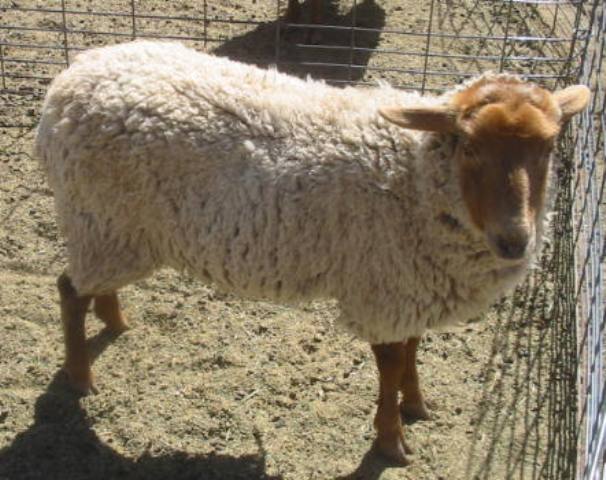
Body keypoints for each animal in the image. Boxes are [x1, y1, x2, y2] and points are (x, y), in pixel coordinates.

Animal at [35, 41, 592, 464]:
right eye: (470, 146)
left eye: (548, 148)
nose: (514, 240)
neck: (411, 175)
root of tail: (69, 81)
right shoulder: (384, 287)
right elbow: (391, 362)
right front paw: (391, 440)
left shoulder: (411, 285)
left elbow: (413, 350)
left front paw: (416, 406)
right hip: (102, 221)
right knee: (68, 291)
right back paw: (81, 376)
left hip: (112, 230)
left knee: (93, 286)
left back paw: (115, 321)